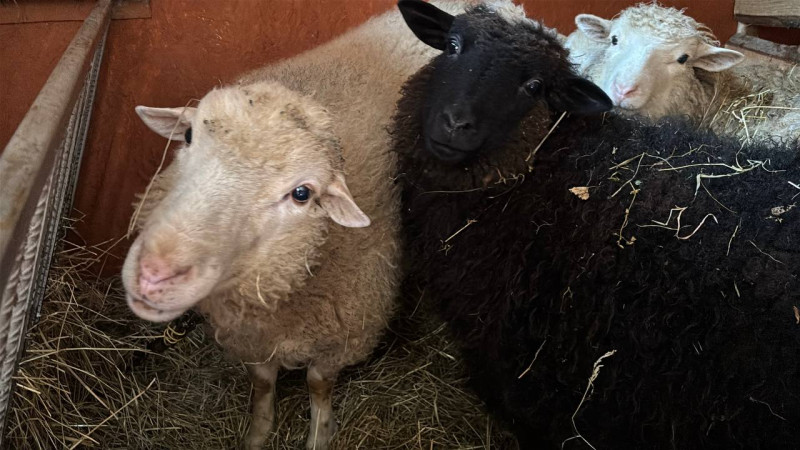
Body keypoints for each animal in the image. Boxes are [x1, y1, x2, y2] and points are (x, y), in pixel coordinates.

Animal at [122, 3, 475, 448]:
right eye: (187, 136)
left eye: (302, 194)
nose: (154, 274)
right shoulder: (254, 336)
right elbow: (262, 383)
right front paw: (257, 433)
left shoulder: (343, 332)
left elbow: (318, 384)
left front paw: (319, 434)